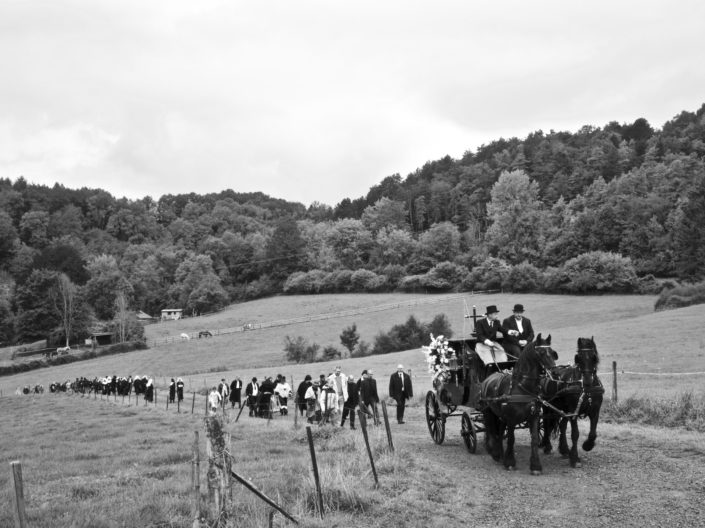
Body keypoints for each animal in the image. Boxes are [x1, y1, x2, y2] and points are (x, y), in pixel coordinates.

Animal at [482, 334, 560, 474]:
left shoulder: (533, 416)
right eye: (541, 352)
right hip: (488, 412)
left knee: (499, 432)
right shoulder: (511, 418)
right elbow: (511, 439)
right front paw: (510, 462)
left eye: (552, 352)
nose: (556, 373)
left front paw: (535, 466)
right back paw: (495, 453)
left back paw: (501, 454)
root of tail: (489, 378)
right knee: (491, 431)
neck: (522, 387)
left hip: (501, 415)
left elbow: (534, 439)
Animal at [540, 338, 604, 466]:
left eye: (594, 357)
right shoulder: (574, 412)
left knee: (562, 426)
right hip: (547, 407)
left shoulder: (595, 411)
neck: (586, 389)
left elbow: (593, 433)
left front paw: (587, 446)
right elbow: (575, 434)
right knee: (546, 424)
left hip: (564, 409)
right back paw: (547, 446)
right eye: (578, 357)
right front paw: (574, 457)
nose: (587, 380)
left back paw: (564, 449)